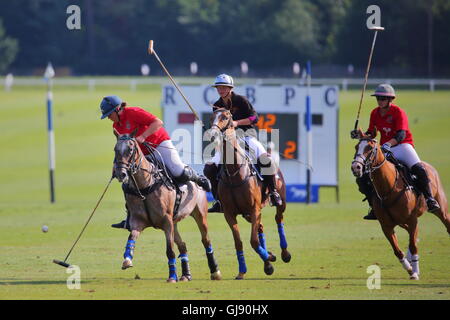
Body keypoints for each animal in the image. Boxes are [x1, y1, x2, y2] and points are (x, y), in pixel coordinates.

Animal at [112, 134, 221, 282]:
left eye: (130, 149)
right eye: (115, 149)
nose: (121, 174)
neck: (145, 185)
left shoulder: (166, 221)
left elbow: (170, 250)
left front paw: (172, 276)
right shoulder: (138, 221)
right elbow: (131, 236)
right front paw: (127, 259)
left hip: (200, 214)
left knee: (206, 240)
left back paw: (215, 271)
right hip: (174, 222)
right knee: (183, 245)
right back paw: (186, 275)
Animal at [208, 109, 292, 278]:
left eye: (225, 117)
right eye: (212, 117)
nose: (213, 134)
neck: (234, 173)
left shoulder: (254, 209)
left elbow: (253, 241)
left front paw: (270, 259)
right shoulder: (229, 214)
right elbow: (239, 242)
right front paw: (243, 271)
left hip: (279, 201)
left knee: (278, 218)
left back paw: (284, 254)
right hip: (248, 213)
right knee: (260, 228)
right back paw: (268, 261)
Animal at [352, 139, 450, 278]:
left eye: (370, 148)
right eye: (356, 147)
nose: (356, 167)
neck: (388, 188)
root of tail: (429, 166)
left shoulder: (412, 220)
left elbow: (413, 245)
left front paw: (415, 272)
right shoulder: (386, 226)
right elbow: (397, 250)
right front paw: (409, 268)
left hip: (440, 208)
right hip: (401, 222)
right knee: (411, 235)